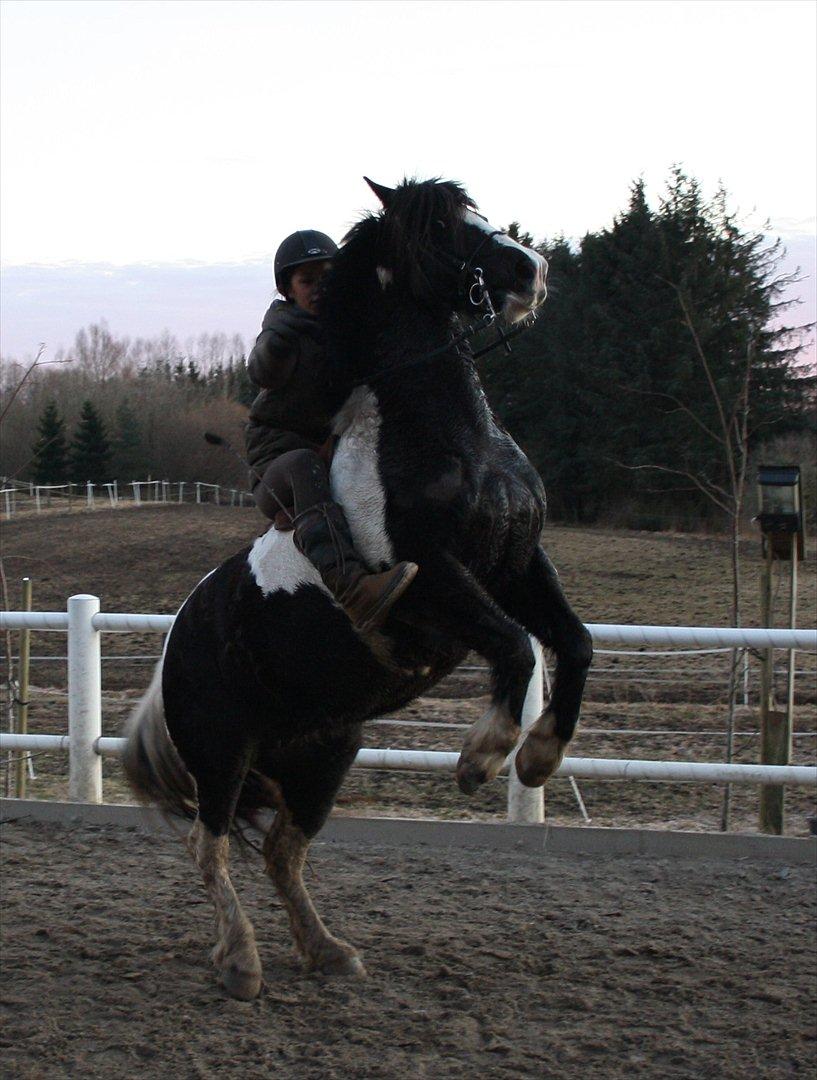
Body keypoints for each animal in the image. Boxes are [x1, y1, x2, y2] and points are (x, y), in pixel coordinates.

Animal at [124, 174, 592, 993]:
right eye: (437, 229)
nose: (529, 270)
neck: (445, 438)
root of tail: (175, 644)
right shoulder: (430, 579)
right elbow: (514, 645)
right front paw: (483, 756)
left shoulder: (517, 562)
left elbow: (574, 641)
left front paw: (537, 758)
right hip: (221, 753)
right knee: (210, 849)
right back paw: (240, 960)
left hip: (323, 757)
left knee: (281, 852)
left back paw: (326, 950)